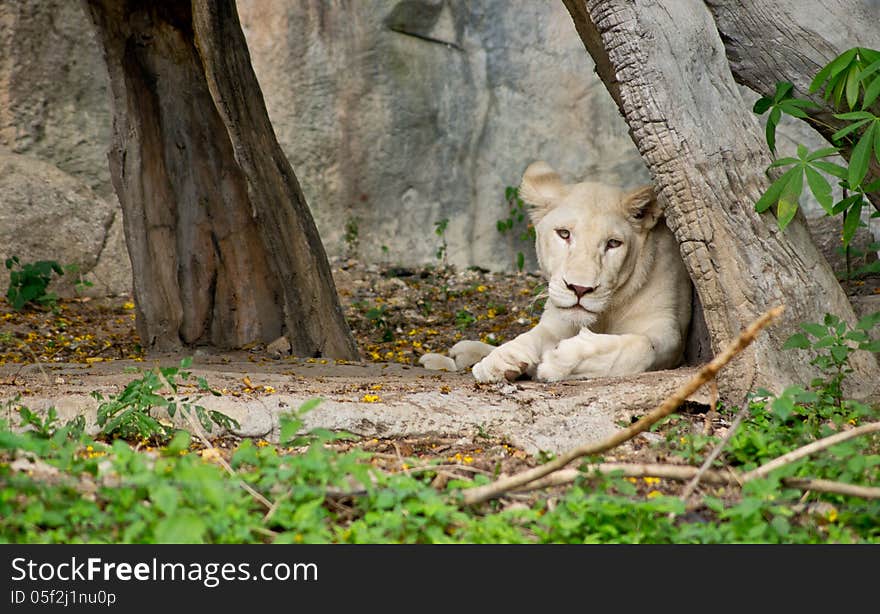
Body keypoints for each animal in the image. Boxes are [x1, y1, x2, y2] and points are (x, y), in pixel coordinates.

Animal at [420, 164, 696, 384]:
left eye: (613, 244)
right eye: (564, 234)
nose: (580, 289)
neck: (605, 314)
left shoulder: (669, 333)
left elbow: (641, 346)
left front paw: (560, 359)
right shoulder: (556, 319)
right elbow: (532, 336)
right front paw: (502, 359)